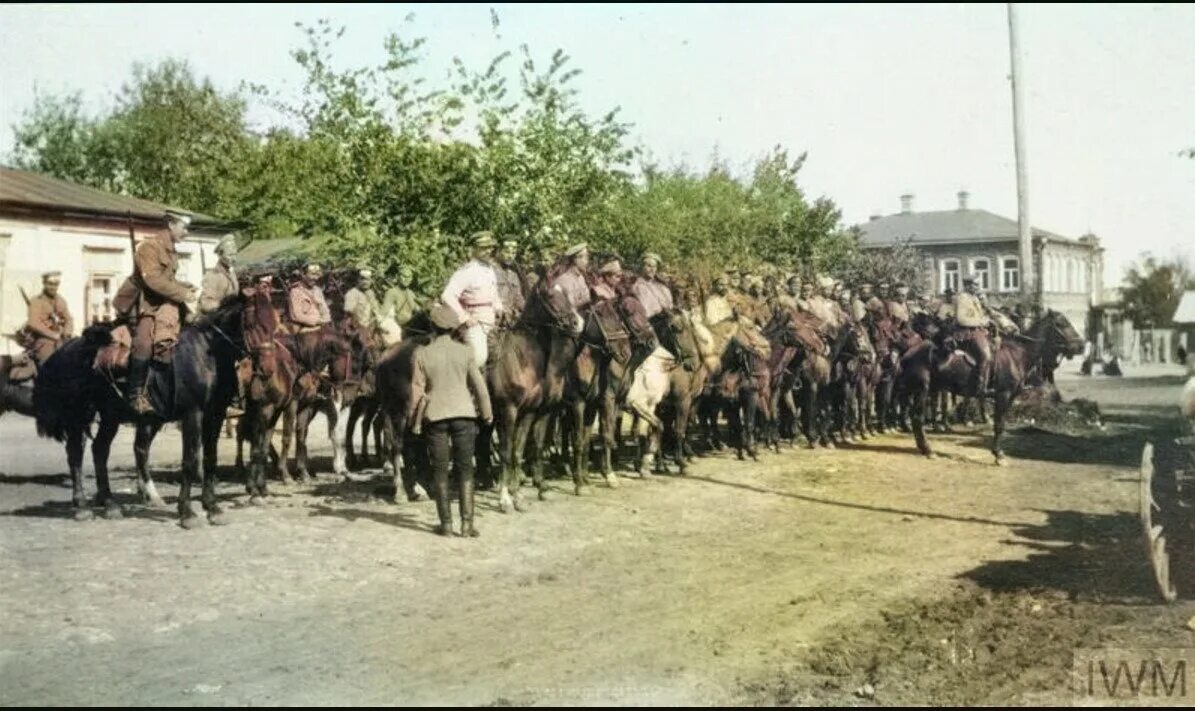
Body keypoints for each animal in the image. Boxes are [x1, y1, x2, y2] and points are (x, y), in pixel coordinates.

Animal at [34, 295, 247, 528]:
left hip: (111, 416)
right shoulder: (193, 414)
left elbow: (210, 458)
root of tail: (64, 350)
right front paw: (187, 512)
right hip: (78, 416)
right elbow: (190, 460)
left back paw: (111, 504)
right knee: (76, 454)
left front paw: (213, 508)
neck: (207, 352)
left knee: (101, 450)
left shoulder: (215, 415)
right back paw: (82, 507)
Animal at [898, 308, 1085, 463]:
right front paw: (998, 455)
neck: (1017, 354)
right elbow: (999, 425)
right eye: (1062, 323)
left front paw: (997, 452)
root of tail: (909, 352)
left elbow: (1000, 424)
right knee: (917, 418)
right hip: (922, 390)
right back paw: (928, 450)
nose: (1082, 346)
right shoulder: (1003, 395)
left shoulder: (1010, 398)